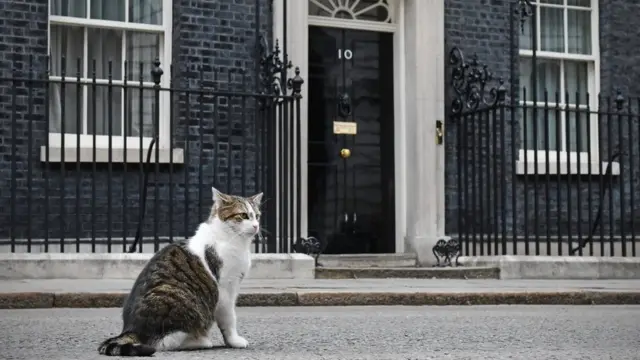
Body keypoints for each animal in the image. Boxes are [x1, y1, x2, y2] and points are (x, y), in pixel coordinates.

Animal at [97, 187, 262, 356]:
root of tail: (131, 329)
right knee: (162, 342)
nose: (256, 226)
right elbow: (229, 317)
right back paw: (200, 341)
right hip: (181, 303)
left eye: (257, 216)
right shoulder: (225, 289)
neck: (232, 239)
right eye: (243, 215)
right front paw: (234, 341)